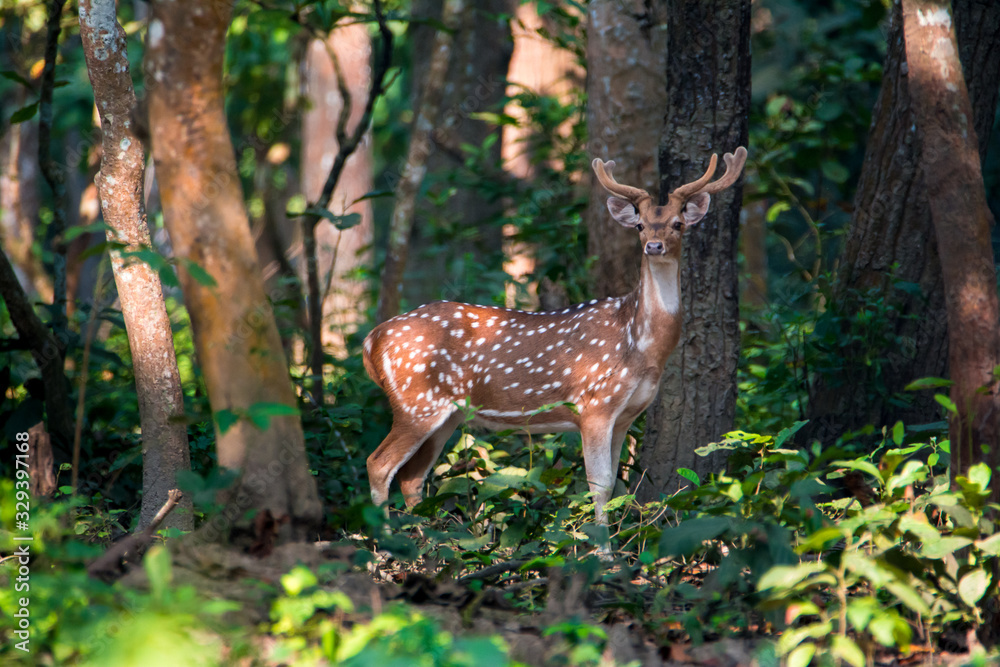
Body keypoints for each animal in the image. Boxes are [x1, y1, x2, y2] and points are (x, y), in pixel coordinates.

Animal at [363, 146, 748, 525]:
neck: (640, 345)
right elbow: (600, 484)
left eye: (677, 224)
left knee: (412, 477)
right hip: (416, 401)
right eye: (640, 225)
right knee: (378, 464)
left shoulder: (626, 415)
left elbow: (616, 484)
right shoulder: (594, 404)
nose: (653, 245)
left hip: (447, 414)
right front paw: (602, 543)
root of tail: (371, 340)